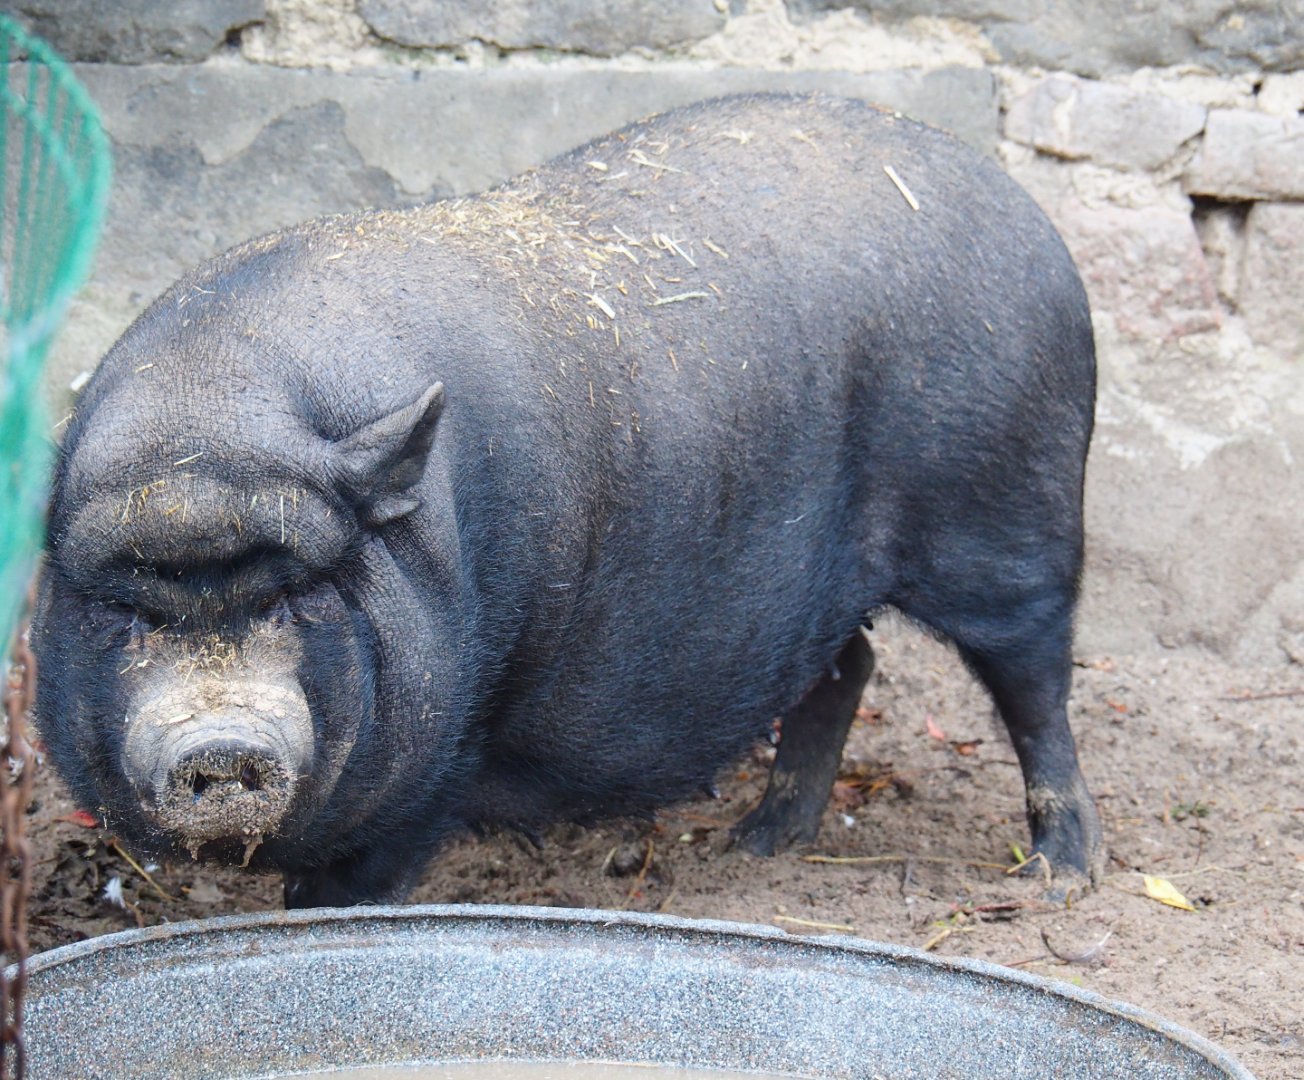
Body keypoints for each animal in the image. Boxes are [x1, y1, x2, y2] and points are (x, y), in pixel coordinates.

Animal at [33, 93, 1102, 908]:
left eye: (296, 599)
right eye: (125, 614)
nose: (220, 741)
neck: (202, 427)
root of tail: (1023, 208)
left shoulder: (448, 741)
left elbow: (352, 887)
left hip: (1010, 517)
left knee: (1038, 688)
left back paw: (1056, 878)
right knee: (849, 665)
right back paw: (760, 843)